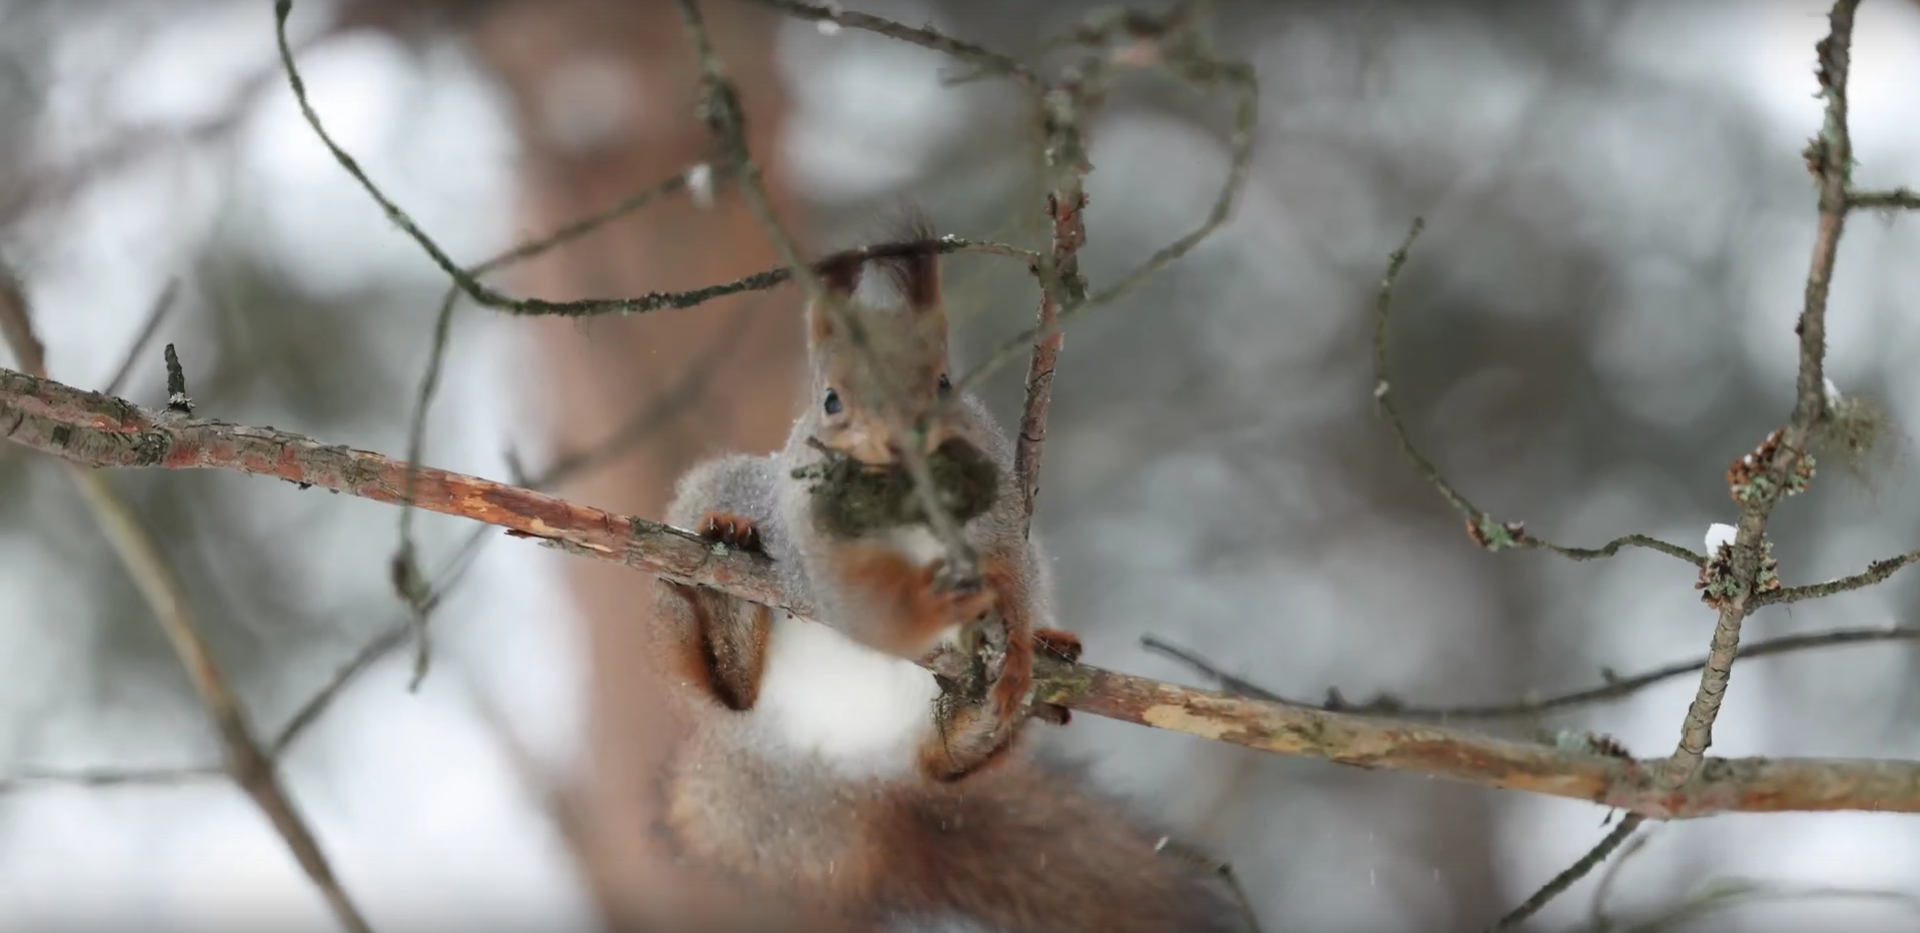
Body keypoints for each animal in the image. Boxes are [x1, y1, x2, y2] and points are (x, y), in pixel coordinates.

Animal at [652, 213, 1250, 932]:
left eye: (943, 384)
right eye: (831, 400)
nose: (899, 440)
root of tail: (817, 752)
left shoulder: (1002, 525)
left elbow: (1011, 581)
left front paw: (1017, 644)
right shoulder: (816, 537)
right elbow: (862, 592)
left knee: (945, 763)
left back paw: (1000, 704)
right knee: (730, 683)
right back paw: (728, 591)